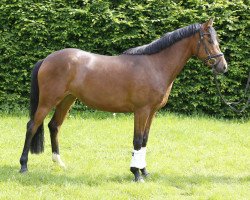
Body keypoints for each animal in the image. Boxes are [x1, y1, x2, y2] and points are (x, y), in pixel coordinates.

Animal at [19, 18, 227, 182]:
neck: (155, 65)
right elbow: (137, 141)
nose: (223, 66)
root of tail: (46, 59)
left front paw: (144, 171)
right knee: (32, 126)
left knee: (54, 126)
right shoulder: (141, 110)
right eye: (209, 39)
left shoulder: (152, 111)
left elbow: (145, 140)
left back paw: (59, 163)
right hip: (48, 101)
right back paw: (23, 166)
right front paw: (136, 174)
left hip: (67, 100)